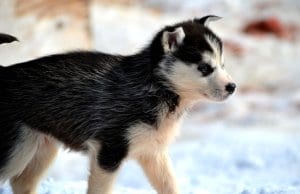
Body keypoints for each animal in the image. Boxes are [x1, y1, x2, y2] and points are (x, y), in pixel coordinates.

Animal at [0, 15, 234, 194]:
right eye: (205, 68)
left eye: (223, 65)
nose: (232, 87)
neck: (156, 88)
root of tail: (3, 72)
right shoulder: (109, 150)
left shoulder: (153, 153)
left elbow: (170, 186)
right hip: (17, 150)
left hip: (41, 147)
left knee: (21, 182)